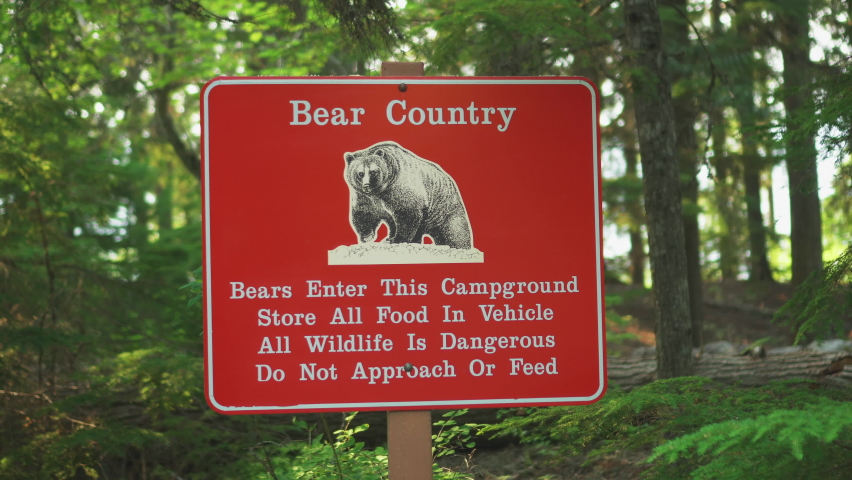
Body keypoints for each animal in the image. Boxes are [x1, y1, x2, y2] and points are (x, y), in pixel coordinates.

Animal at [343, 141, 473, 249]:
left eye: (373, 172)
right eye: (360, 173)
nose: (366, 185)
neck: (380, 191)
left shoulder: (400, 189)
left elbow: (407, 213)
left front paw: (397, 239)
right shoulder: (365, 197)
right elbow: (364, 212)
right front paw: (367, 236)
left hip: (444, 211)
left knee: (455, 233)